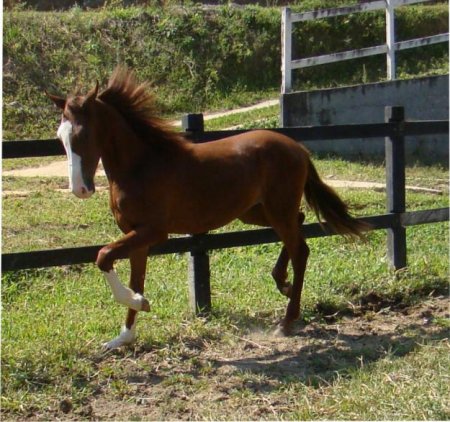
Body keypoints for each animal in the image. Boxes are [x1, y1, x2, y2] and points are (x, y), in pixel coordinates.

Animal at [47, 66, 368, 350]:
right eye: (60, 138)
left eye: (83, 135)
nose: (80, 189)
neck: (141, 166)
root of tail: (297, 147)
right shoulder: (136, 236)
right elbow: (135, 278)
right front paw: (124, 336)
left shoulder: (153, 232)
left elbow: (103, 256)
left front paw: (140, 303)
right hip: (256, 212)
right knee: (299, 224)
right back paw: (283, 283)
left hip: (276, 209)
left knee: (301, 249)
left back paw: (287, 320)